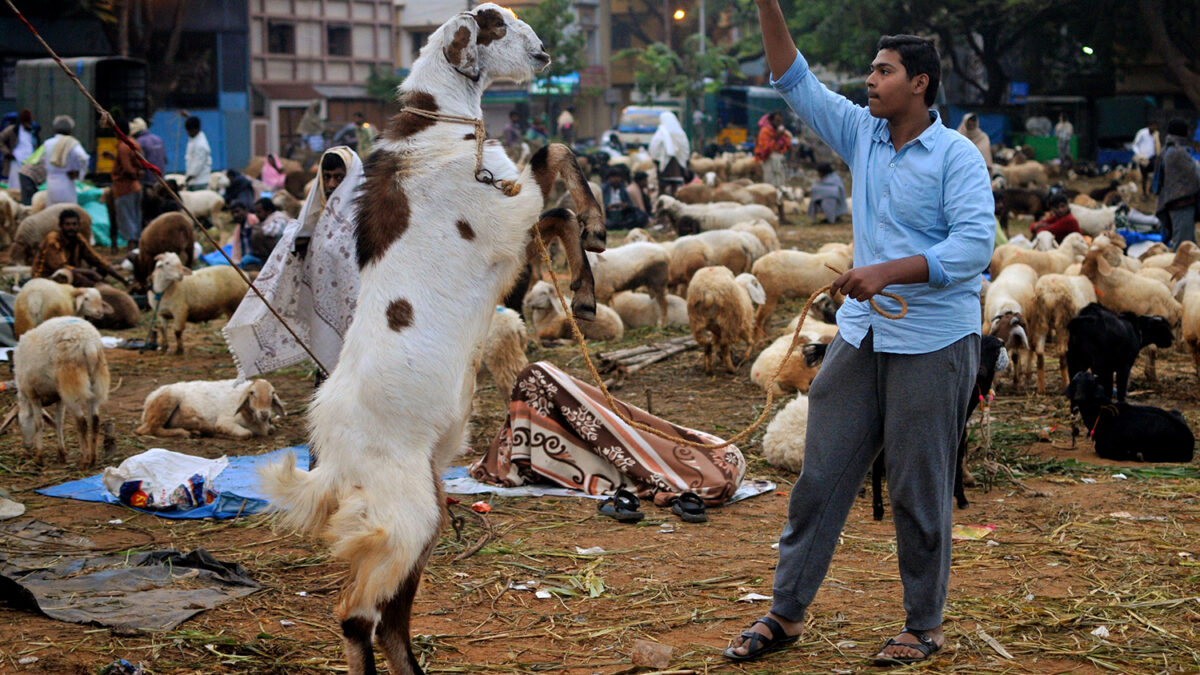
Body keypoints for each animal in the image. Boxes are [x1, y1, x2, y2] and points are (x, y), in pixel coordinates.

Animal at [14, 314, 109, 461]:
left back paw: (84, 460)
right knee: (95, 420)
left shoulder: (33, 394)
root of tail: (88, 343)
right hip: (97, 380)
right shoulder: (59, 397)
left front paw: (39, 456)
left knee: (81, 422)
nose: (26, 446)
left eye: (19, 423)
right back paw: (92, 458)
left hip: (71, 384)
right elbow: (59, 422)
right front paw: (61, 453)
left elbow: (38, 423)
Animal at [135, 374, 283, 439]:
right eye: (252, 393)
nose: (264, 413)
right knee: (148, 430)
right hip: (167, 400)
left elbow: (272, 429)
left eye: (272, 393)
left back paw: (196, 431)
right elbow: (247, 434)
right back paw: (185, 433)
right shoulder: (225, 421)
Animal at [260, 6, 600, 672]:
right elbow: (554, 168)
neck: (439, 130)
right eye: (496, 26)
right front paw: (593, 247)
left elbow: (558, 197)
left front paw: (587, 275)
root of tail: (330, 457)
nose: (544, 54)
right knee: (356, 614)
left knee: (391, 616)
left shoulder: (512, 230)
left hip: (424, 511)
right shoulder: (504, 220)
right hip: (406, 514)